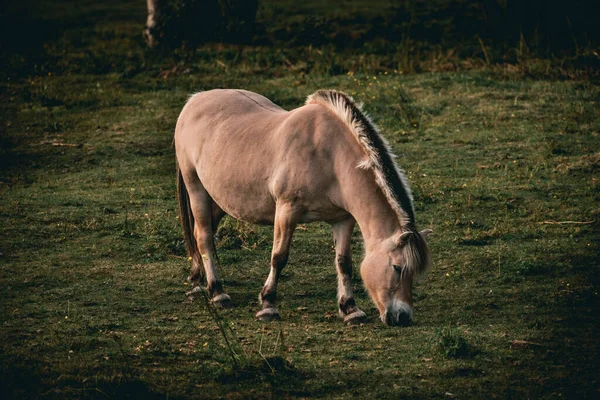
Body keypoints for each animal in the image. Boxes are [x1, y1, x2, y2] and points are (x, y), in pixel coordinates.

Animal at [173, 89, 432, 326]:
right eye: (397, 267)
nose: (403, 317)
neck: (330, 157)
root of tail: (194, 100)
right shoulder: (287, 211)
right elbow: (279, 257)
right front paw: (268, 304)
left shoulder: (343, 219)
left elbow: (344, 262)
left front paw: (350, 309)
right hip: (197, 189)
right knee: (204, 236)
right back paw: (217, 292)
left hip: (219, 200)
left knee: (203, 234)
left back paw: (199, 280)